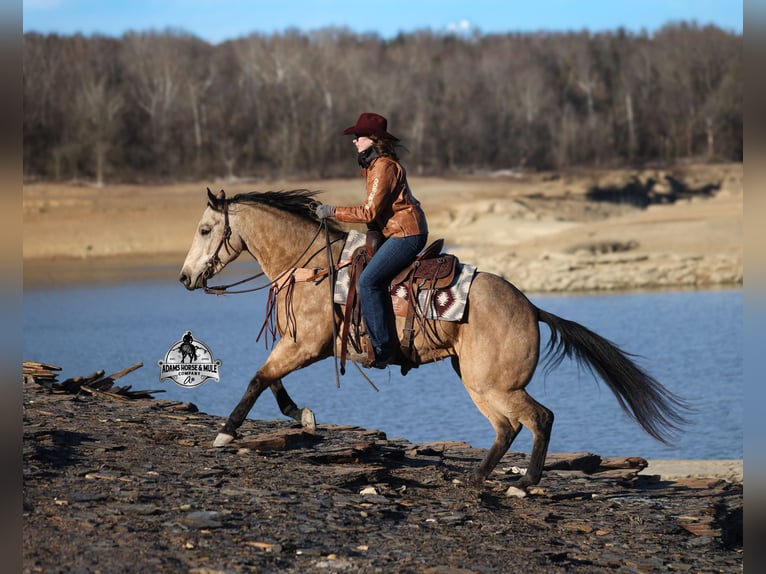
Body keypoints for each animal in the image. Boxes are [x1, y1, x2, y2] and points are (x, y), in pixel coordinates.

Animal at [179, 188, 687, 491]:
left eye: (205, 229)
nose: (184, 277)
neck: (315, 267)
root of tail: (531, 308)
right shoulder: (297, 345)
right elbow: (270, 379)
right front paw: (300, 415)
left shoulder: (306, 346)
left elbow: (256, 378)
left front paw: (226, 432)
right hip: (478, 382)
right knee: (507, 428)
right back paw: (476, 476)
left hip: (494, 384)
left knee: (539, 418)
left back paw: (522, 483)